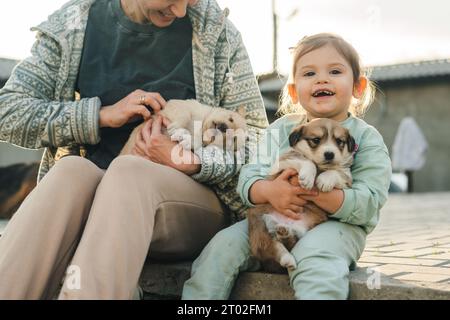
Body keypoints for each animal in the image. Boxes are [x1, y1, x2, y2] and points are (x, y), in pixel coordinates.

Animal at [248, 117, 356, 272]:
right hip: (259, 225)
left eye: (339, 141)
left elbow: (336, 172)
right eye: (316, 140)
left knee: (289, 241)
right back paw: (287, 257)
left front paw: (324, 180)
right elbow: (306, 160)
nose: (329, 154)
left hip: (301, 232)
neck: (321, 167)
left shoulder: (347, 178)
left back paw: (284, 233)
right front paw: (307, 178)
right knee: (272, 246)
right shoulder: (284, 162)